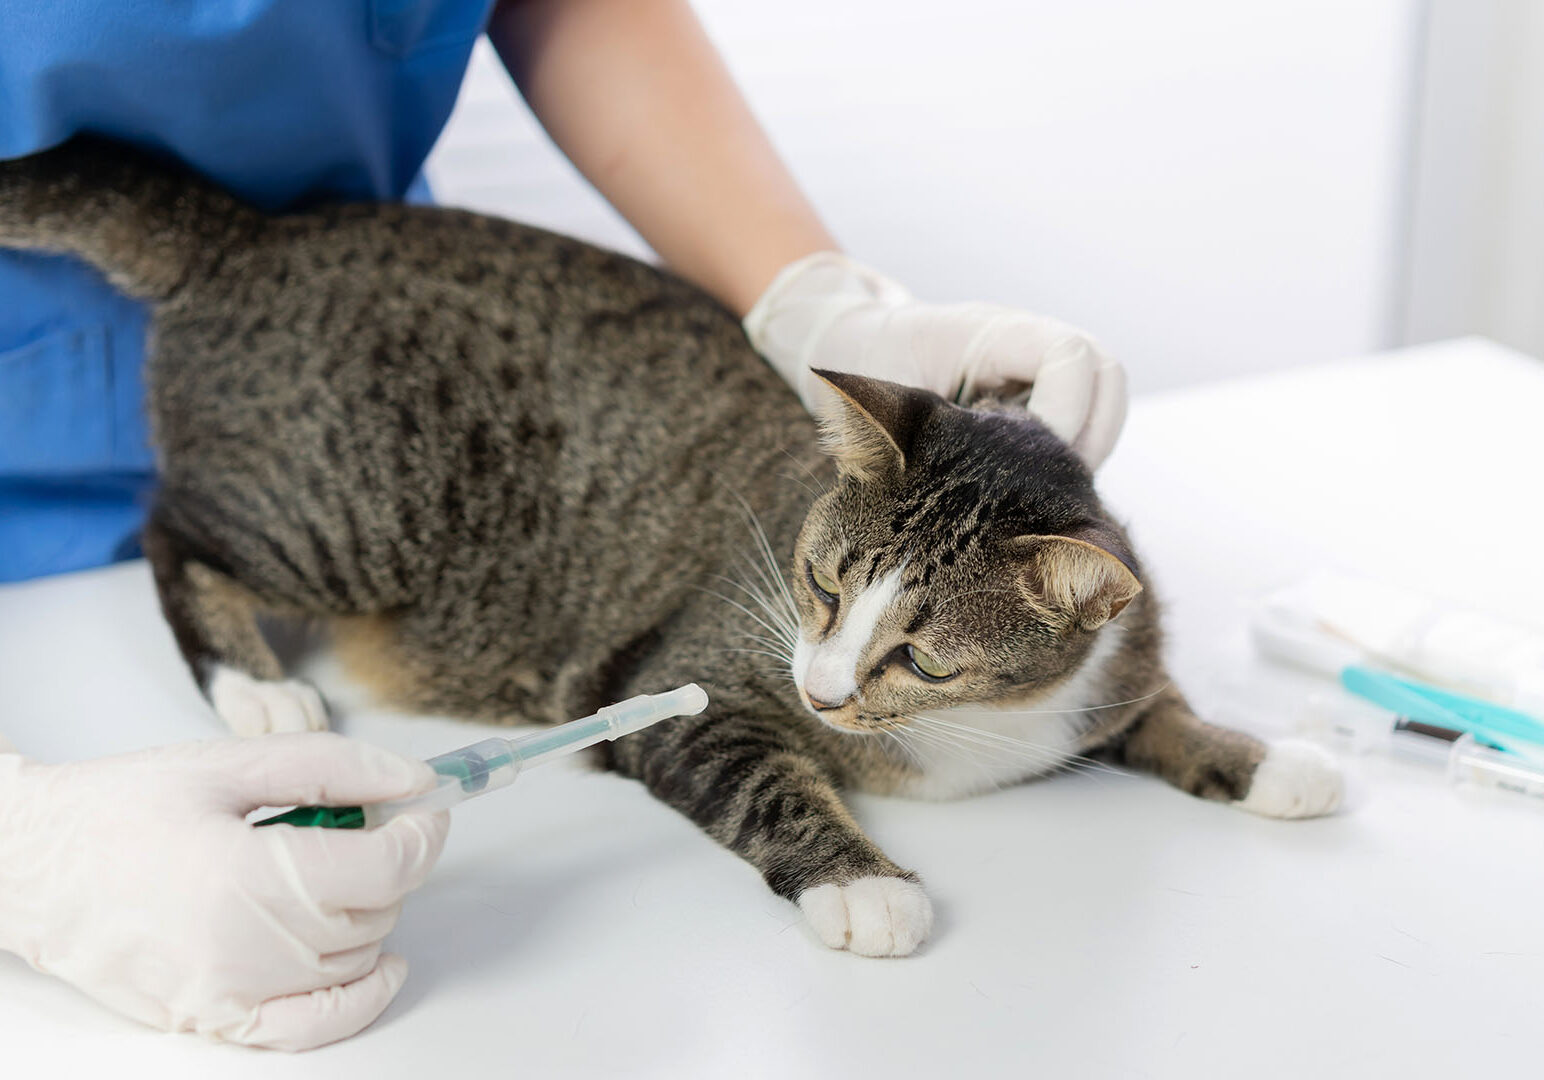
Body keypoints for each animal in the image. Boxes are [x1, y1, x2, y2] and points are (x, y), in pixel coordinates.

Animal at [0, 141, 1340, 951]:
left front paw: (1269, 757)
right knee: (172, 532)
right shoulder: (683, 686)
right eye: (819, 585)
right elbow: (759, 776)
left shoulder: (1112, 666)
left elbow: (1162, 713)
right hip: (343, 511)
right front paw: (864, 885)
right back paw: (256, 689)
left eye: (922, 657)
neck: (975, 736)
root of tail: (253, 234)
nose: (823, 686)